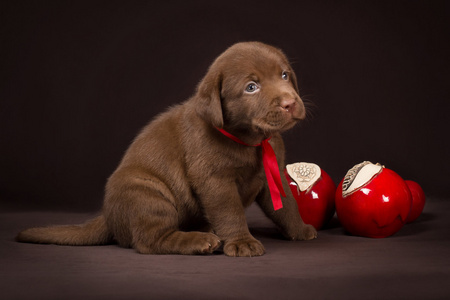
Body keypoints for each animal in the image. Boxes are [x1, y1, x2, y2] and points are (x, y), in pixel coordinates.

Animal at [16, 42, 316, 256]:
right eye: (251, 87)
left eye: (284, 74)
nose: (289, 103)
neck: (250, 140)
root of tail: (108, 217)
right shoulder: (215, 181)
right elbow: (230, 212)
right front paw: (242, 242)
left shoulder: (273, 174)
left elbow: (286, 207)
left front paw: (299, 230)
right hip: (148, 195)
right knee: (150, 240)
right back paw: (199, 241)